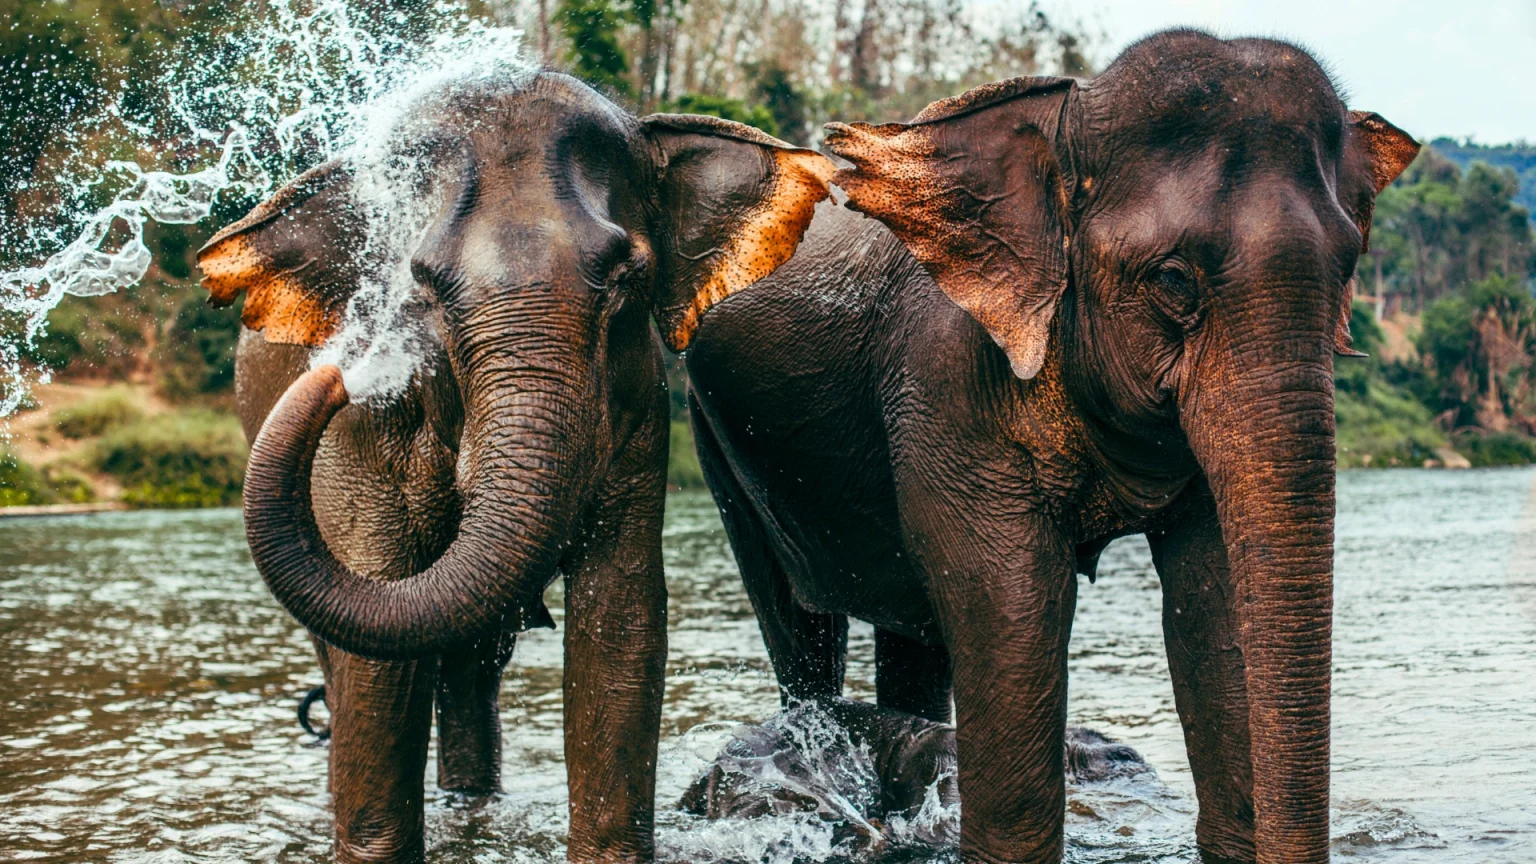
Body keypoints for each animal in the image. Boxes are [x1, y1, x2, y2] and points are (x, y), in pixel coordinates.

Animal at [196, 70, 835, 854]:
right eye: (422, 286)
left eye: (625, 277)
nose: (342, 372)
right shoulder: (361, 438)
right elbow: (378, 650)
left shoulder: (637, 411)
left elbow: (620, 624)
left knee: (470, 666)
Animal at [685, 26, 1413, 860]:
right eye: (1172, 281)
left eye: (1349, 268)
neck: (1068, 116)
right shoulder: (946, 379)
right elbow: (1013, 600)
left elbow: (1214, 593)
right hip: (715, 436)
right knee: (800, 624)